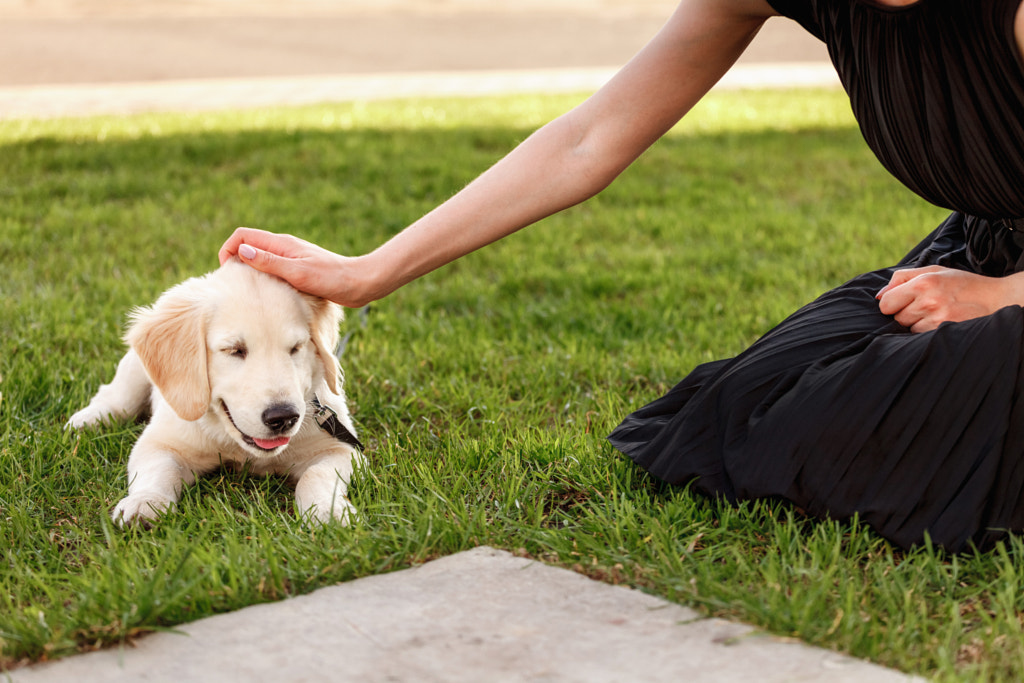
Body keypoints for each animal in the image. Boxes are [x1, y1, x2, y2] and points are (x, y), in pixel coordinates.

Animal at [68, 259, 364, 528]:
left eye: (296, 348)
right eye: (235, 350)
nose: (283, 418)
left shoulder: (341, 446)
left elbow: (316, 474)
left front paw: (328, 510)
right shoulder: (161, 441)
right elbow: (157, 469)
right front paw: (145, 502)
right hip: (134, 368)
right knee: (116, 396)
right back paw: (87, 420)